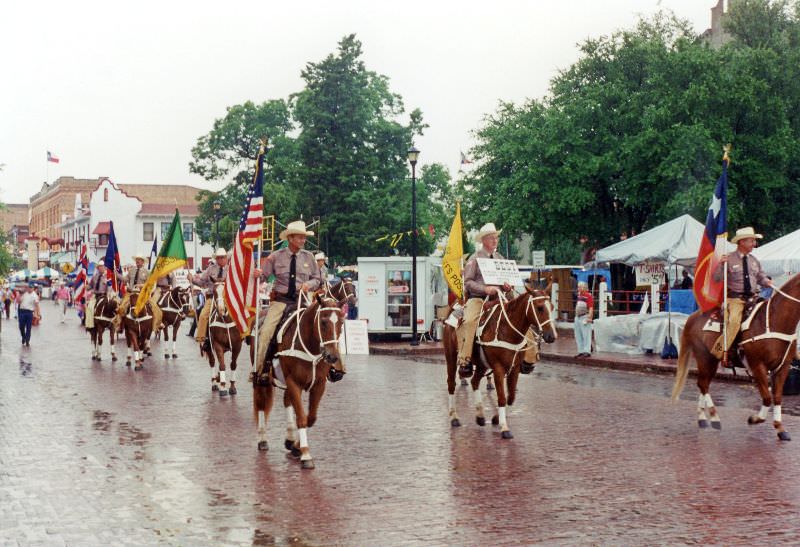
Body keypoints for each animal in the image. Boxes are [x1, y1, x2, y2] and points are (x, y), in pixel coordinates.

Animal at [255, 294, 346, 468]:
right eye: (323, 321)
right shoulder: (294, 383)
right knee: (261, 405)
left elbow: (311, 418)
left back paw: (289, 439)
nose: (332, 357)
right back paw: (262, 439)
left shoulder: (319, 385)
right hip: (261, 379)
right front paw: (305, 455)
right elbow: (302, 419)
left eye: (342, 322)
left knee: (286, 401)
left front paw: (296, 447)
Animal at [444, 284, 556, 438]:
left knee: (475, 381)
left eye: (552, 307)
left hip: (482, 365)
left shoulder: (514, 368)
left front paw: (496, 418)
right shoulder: (498, 368)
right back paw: (454, 417)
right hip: (451, 356)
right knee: (451, 384)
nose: (552, 336)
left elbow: (511, 397)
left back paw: (480, 416)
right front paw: (505, 428)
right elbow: (502, 397)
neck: (507, 330)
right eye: (539, 307)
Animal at [672, 274, 796, 440]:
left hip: (711, 361)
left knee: (703, 384)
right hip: (705, 357)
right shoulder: (757, 365)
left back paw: (702, 418)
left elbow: (776, 397)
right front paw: (755, 419)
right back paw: (714, 418)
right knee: (703, 384)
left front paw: (780, 429)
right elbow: (767, 397)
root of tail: (693, 316)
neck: (774, 321)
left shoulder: (783, 367)